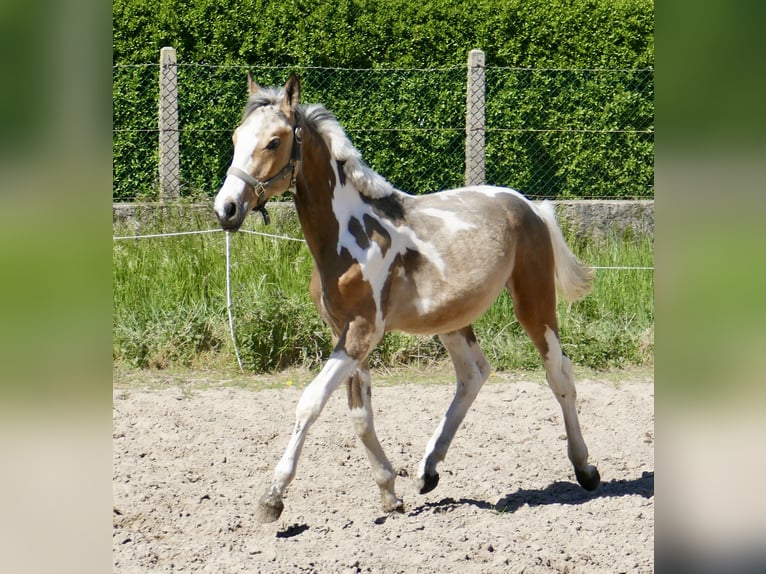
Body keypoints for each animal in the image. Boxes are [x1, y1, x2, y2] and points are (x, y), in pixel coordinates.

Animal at [214, 73, 601, 523]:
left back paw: (585, 468)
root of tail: (530, 206)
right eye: (236, 137)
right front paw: (388, 492)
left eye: (274, 141)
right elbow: (360, 414)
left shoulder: (361, 331)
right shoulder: (344, 332)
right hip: (451, 319)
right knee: (473, 374)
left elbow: (310, 402)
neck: (347, 235)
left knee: (559, 374)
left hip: (534, 303)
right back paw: (428, 469)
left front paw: (272, 499)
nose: (226, 208)